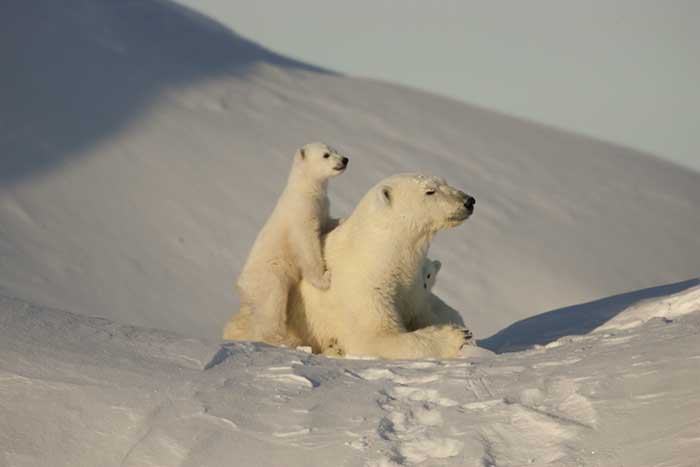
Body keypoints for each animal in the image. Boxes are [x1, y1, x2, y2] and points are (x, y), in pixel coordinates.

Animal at [223, 144, 348, 346]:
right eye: (326, 155)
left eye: (335, 150)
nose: (345, 160)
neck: (304, 189)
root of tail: (242, 284)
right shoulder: (301, 214)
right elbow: (307, 246)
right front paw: (325, 278)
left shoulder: (320, 206)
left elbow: (325, 222)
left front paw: (343, 219)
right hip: (270, 276)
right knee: (272, 305)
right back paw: (284, 340)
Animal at [224, 174, 476, 360]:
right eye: (430, 191)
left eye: (444, 182)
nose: (469, 200)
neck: (381, 253)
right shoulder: (363, 285)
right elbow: (375, 337)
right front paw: (456, 336)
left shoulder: (412, 287)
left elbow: (428, 310)